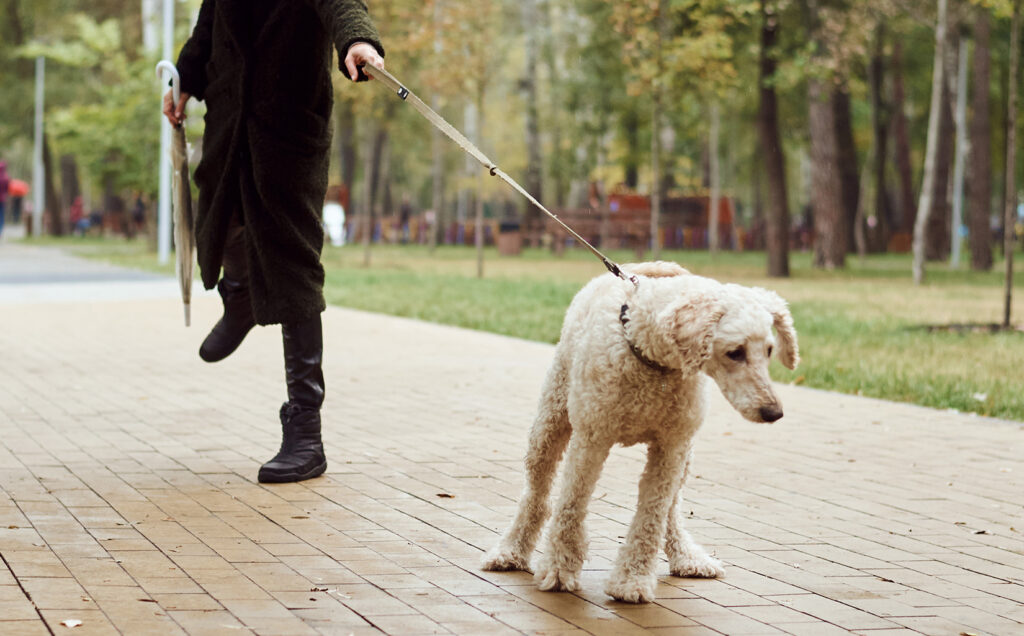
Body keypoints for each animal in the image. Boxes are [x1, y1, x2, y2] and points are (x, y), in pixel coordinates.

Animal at [479, 260, 798, 602]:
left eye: (769, 350)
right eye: (735, 352)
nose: (774, 412)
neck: (649, 356)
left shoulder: (671, 446)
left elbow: (653, 513)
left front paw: (632, 579)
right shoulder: (591, 438)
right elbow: (571, 504)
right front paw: (559, 568)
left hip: (685, 455)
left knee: (672, 509)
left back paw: (687, 557)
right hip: (549, 423)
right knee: (536, 495)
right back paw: (510, 551)